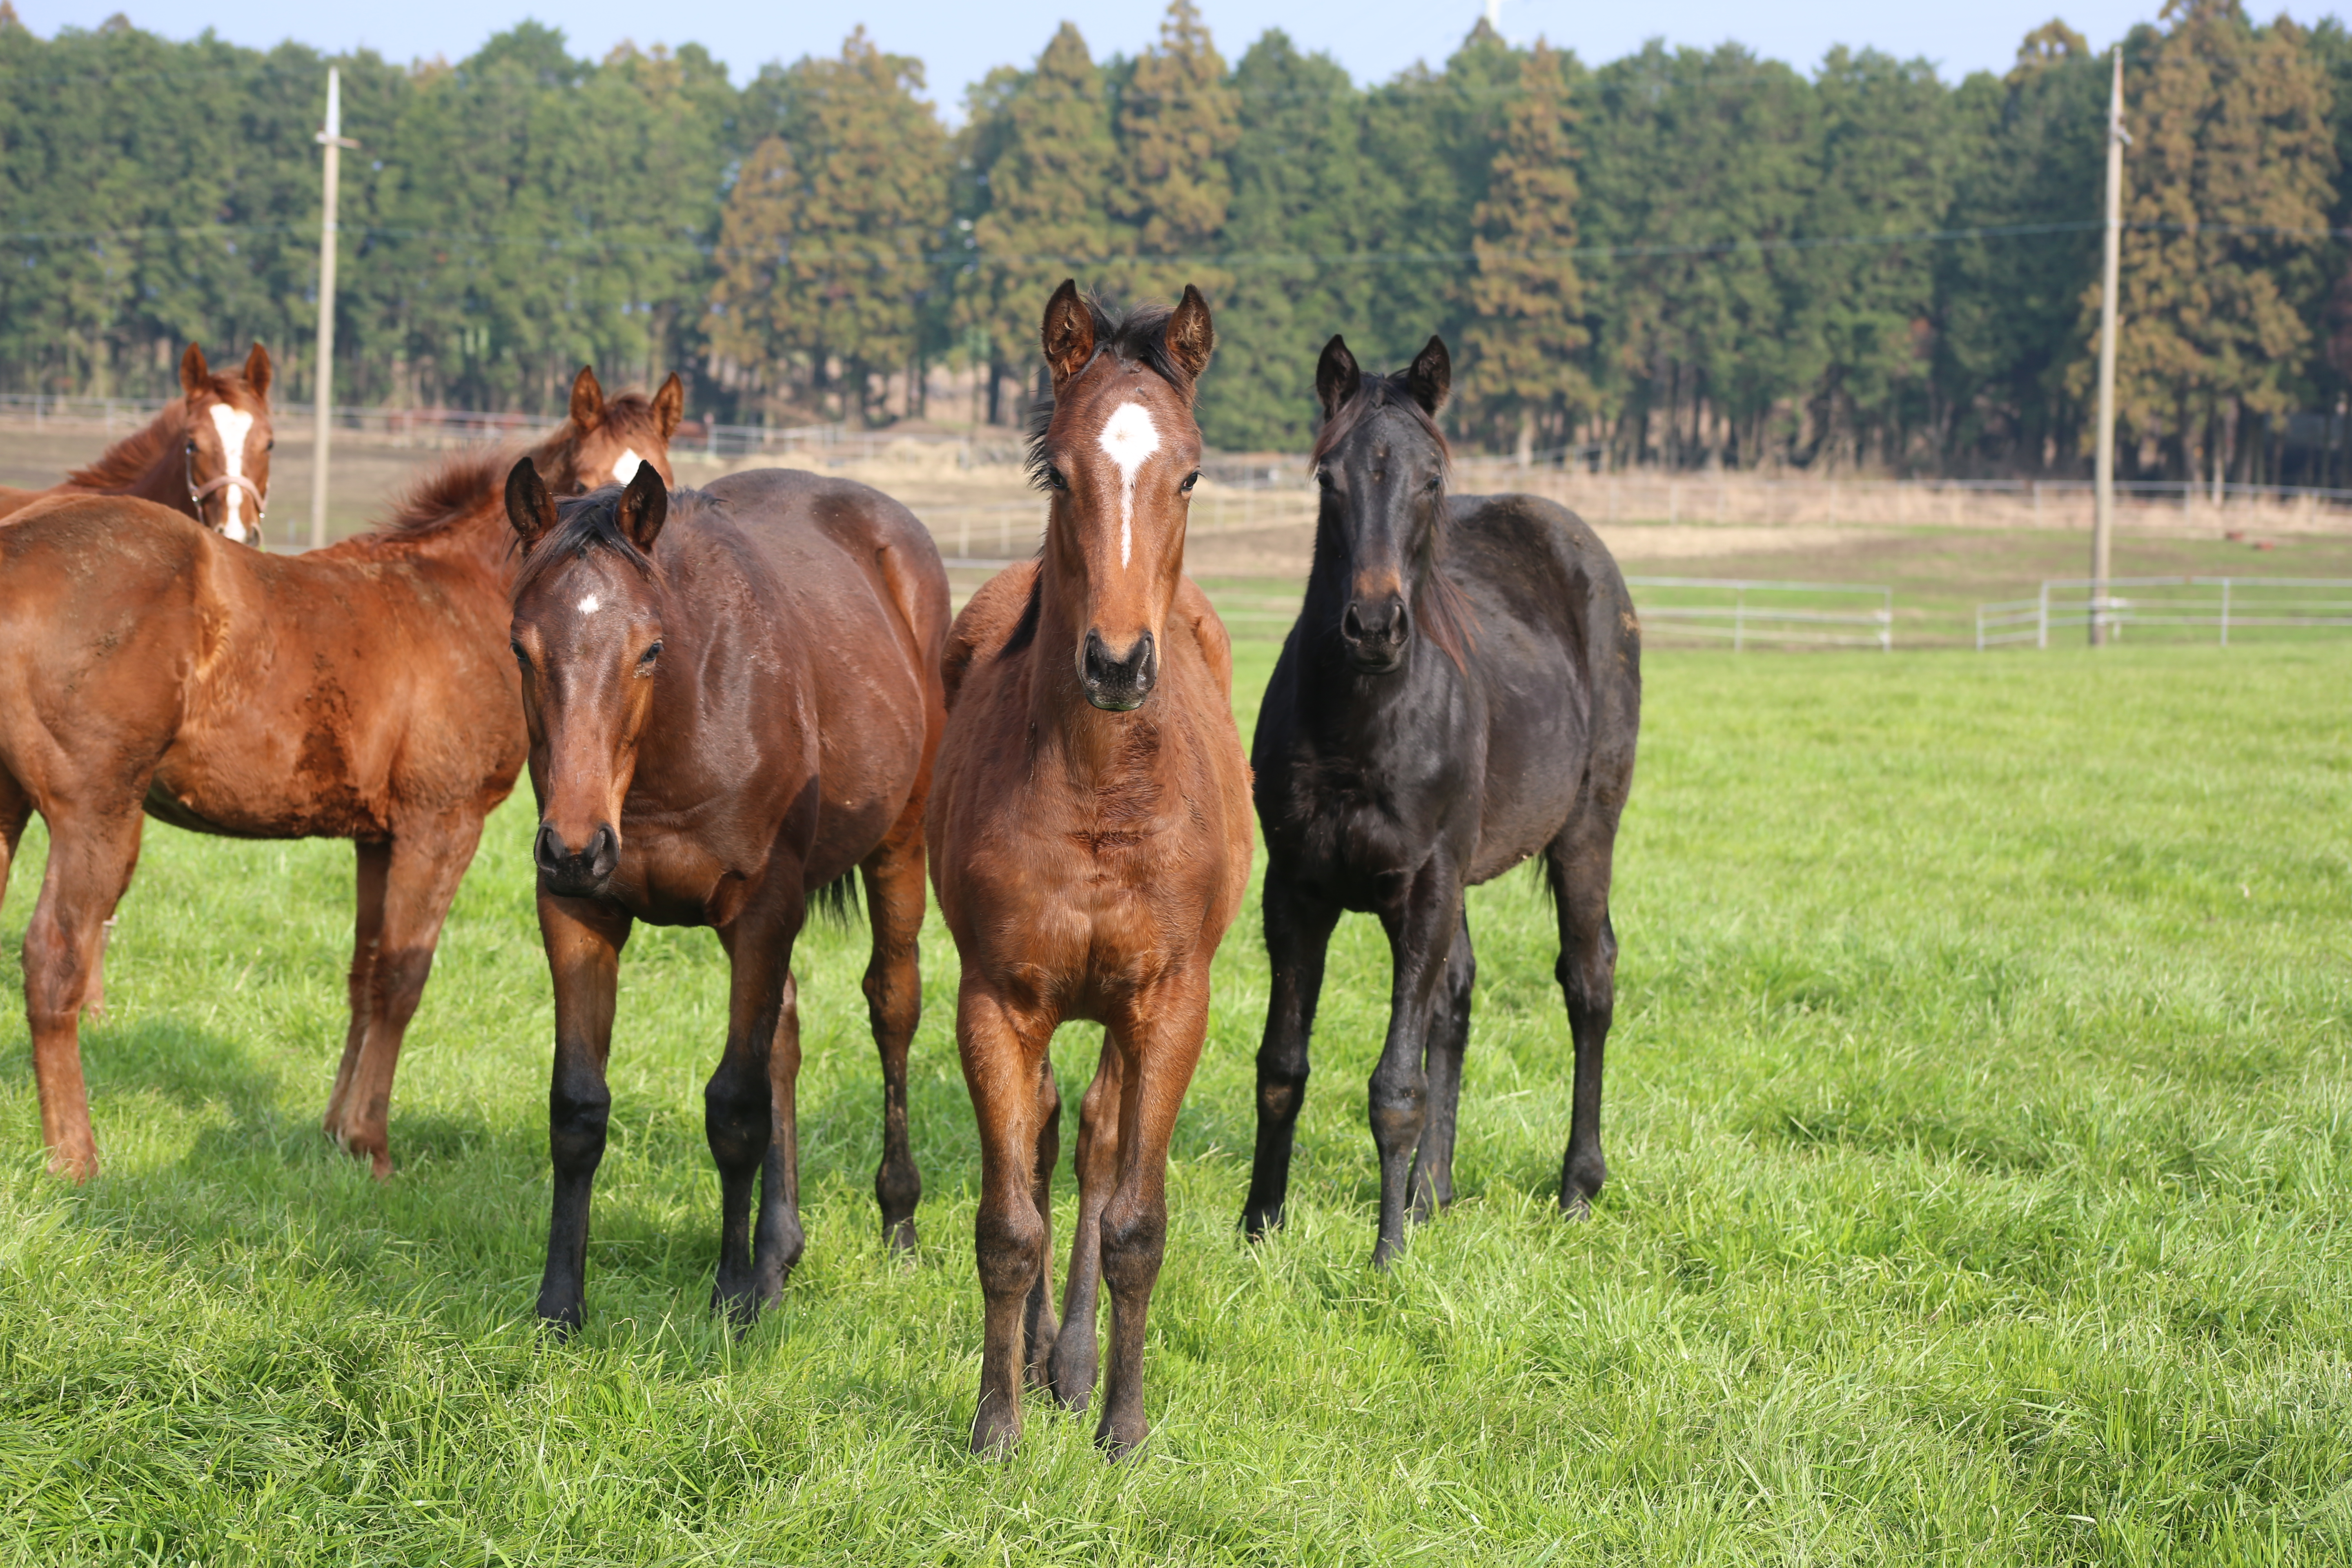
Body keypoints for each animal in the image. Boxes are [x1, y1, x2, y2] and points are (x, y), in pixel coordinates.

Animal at [0, 364, 682, 1175]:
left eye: (658, 490)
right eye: (577, 486)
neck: (454, 594)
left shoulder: (377, 838)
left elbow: (363, 972)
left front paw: (335, 1131)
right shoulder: (441, 824)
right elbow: (401, 978)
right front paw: (371, 1144)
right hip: (96, 812)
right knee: (54, 957)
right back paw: (76, 1159)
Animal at [510, 456, 950, 1335]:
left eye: (649, 648)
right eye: (521, 648)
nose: (576, 846)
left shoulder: (762, 909)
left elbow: (737, 1108)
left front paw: (731, 1299)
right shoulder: (578, 912)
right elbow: (577, 1108)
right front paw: (560, 1306)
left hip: (900, 847)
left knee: (892, 1008)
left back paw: (896, 1223)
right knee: (785, 1026)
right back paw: (780, 1252)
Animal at [922, 282, 1261, 1457]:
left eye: (1191, 473)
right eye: (1057, 473)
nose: (1117, 662)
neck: (1100, 794)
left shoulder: (1170, 1003)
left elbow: (1135, 1222)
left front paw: (1122, 1425)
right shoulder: (996, 1000)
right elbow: (1006, 1222)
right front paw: (995, 1428)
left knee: (1102, 1145)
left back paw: (1071, 1366)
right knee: (1050, 1137)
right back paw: (1038, 1358)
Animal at [1242, 339, 1646, 1269]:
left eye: (1430, 479)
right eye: (1329, 480)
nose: (1374, 626)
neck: (1362, 722)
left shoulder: (1423, 886)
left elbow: (1397, 1083)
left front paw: (1387, 1257)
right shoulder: (1296, 890)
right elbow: (1284, 1066)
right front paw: (1259, 1228)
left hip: (1585, 833)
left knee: (1589, 981)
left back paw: (1577, 1187)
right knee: (1457, 996)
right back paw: (1434, 1193)